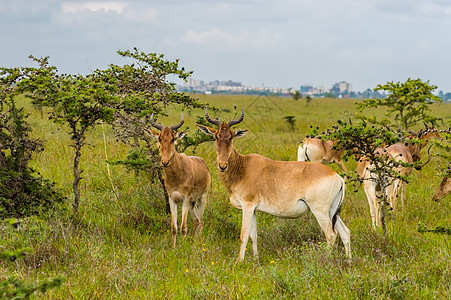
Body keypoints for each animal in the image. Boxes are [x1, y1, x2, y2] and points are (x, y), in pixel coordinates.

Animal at [145, 113, 212, 247]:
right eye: (159, 138)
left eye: (172, 139)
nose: (165, 162)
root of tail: (203, 162)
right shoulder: (172, 200)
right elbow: (174, 227)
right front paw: (173, 247)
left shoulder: (185, 199)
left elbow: (183, 227)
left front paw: (183, 248)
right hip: (192, 203)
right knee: (196, 220)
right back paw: (192, 242)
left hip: (202, 198)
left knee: (201, 221)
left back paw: (199, 243)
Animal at [199, 109, 354, 262]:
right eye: (216, 136)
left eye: (231, 137)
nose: (222, 165)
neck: (243, 166)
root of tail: (337, 176)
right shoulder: (254, 209)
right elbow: (253, 236)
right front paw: (256, 260)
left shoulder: (247, 206)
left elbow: (243, 235)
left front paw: (239, 262)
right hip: (332, 210)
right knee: (345, 232)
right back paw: (349, 261)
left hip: (320, 210)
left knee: (331, 234)